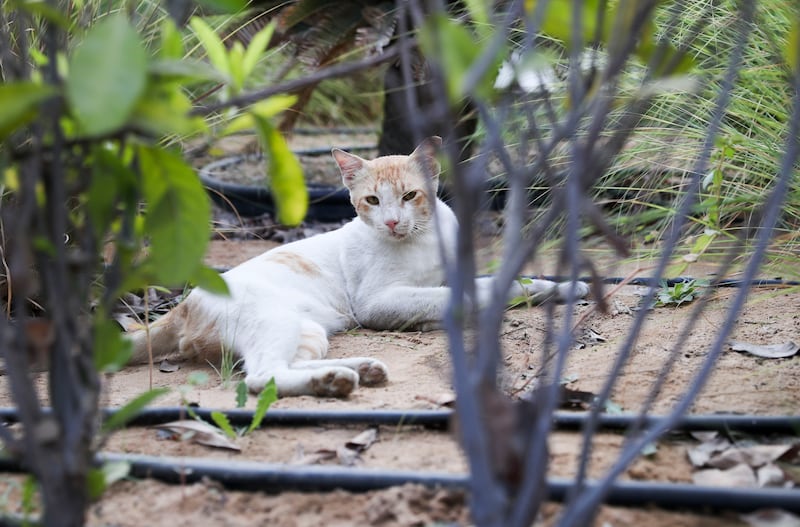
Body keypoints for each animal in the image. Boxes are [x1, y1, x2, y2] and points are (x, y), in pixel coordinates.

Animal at [128, 138, 592, 398]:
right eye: (372, 201)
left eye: (409, 196)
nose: (391, 222)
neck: (422, 238)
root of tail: (183, 304)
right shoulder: (379, 302)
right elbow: (467, 291)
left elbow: (507, 281)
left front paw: (565, 287)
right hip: (277, 321)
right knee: (259, 377)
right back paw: (336, 381)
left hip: (309, 330)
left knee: (276, 369)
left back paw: (359, 369)